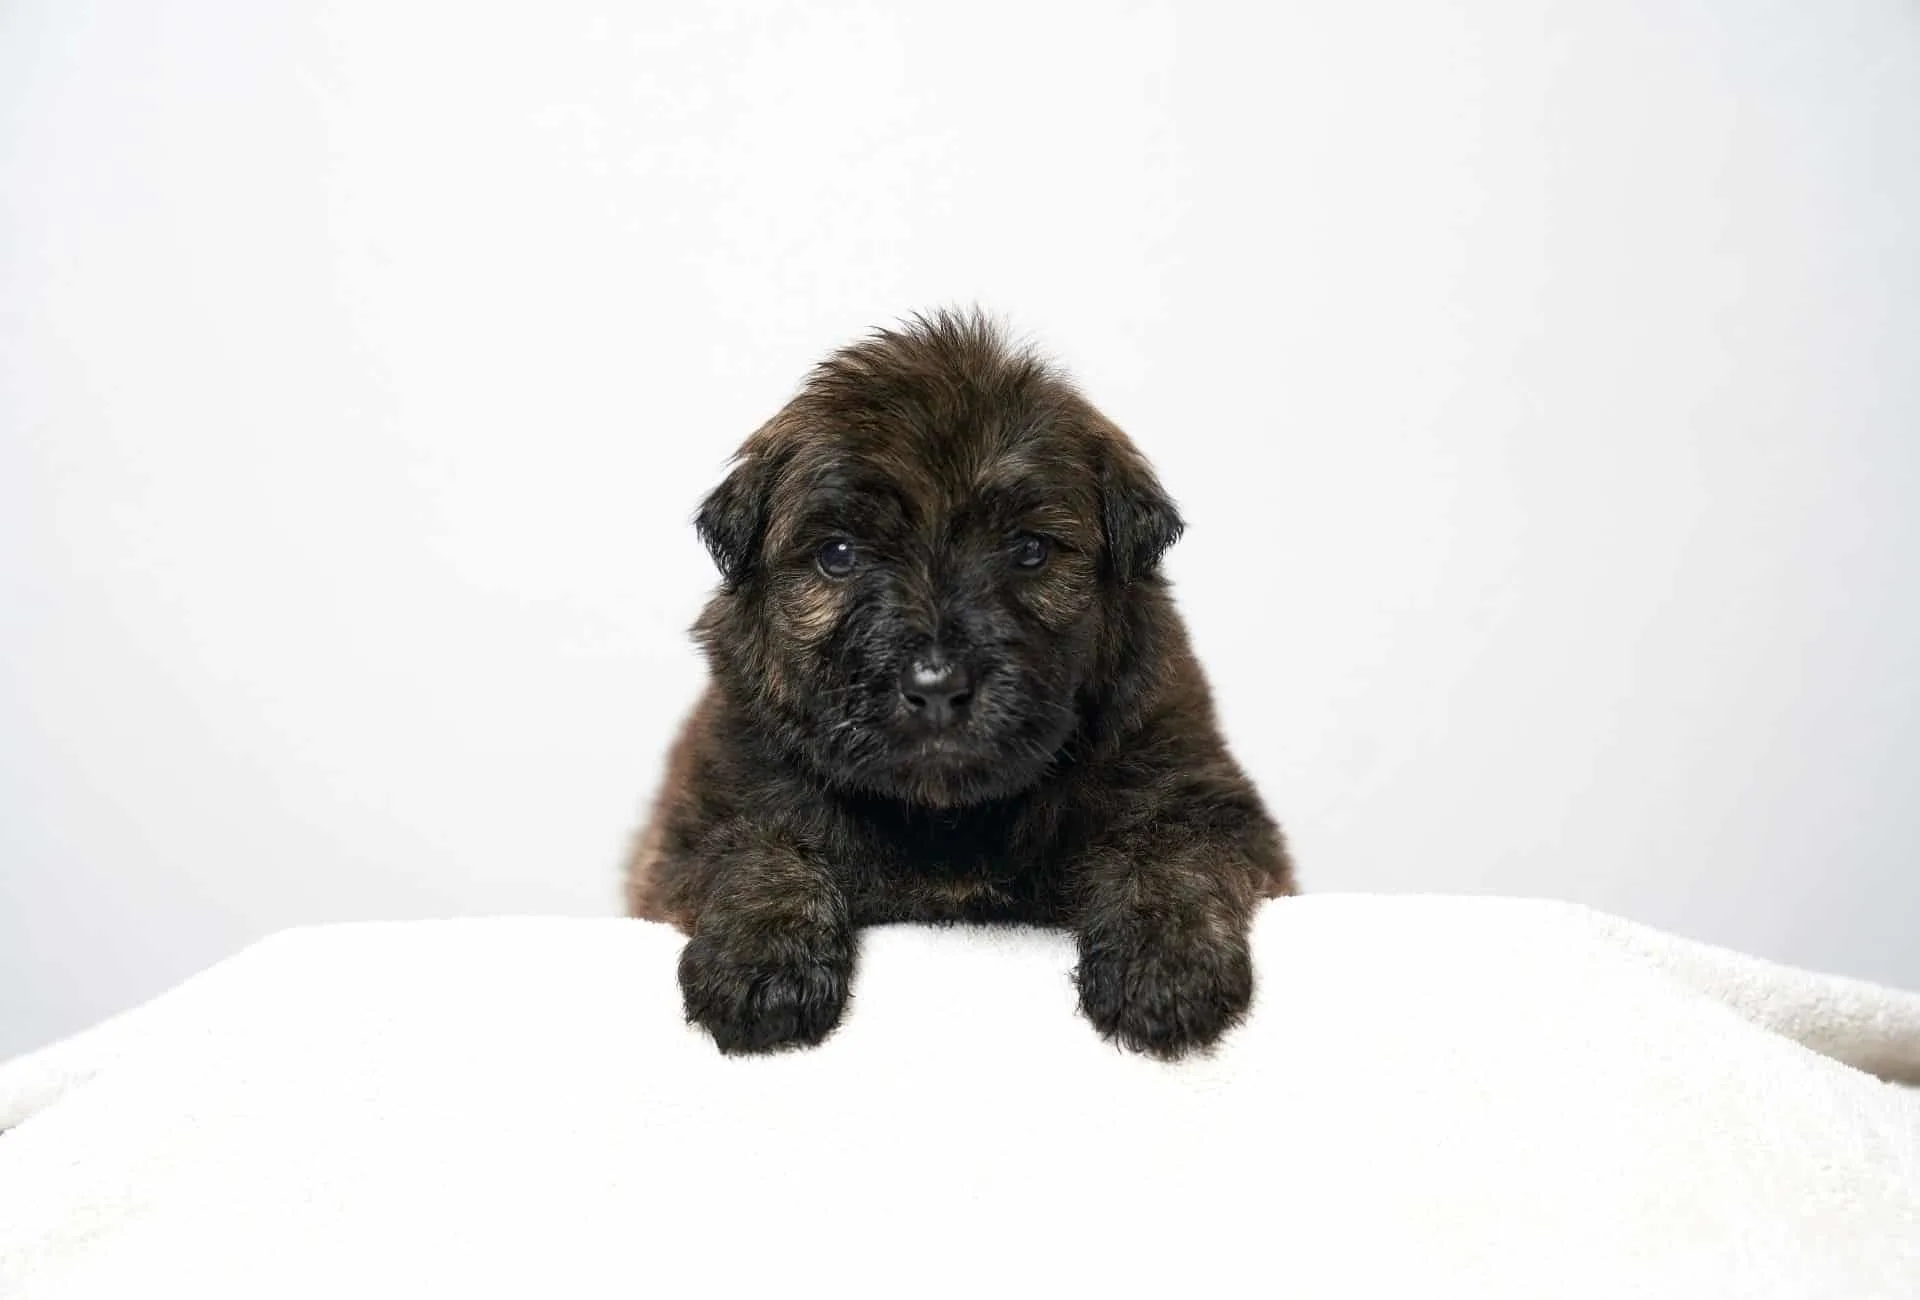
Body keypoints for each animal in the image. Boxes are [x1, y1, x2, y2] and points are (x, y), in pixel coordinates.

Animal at [622, 311, 1297, 1052]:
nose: (938, 686)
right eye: (838, 554)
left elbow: (1171, 848)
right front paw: (762, 962)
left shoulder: (1210, 798)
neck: (949, 816)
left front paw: (1166, 967)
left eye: (1030, 550)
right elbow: (753, 848)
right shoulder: (696, 818)